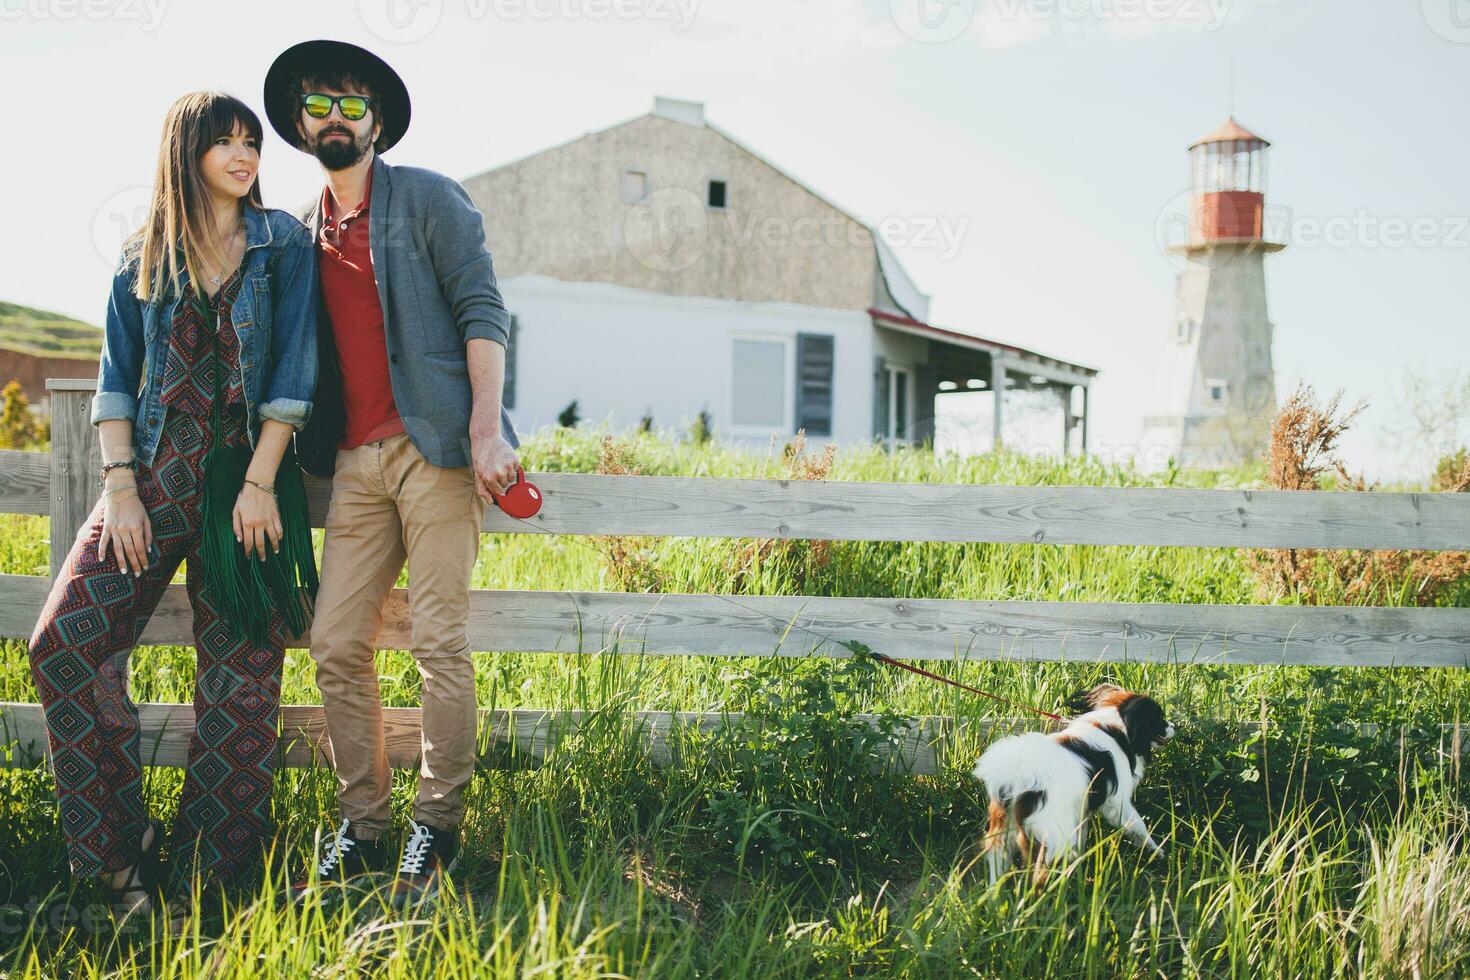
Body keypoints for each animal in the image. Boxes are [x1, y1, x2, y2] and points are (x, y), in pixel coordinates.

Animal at [976, 687, 1170, 887]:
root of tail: (1018, 774)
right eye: (1159, 719)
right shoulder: (1118, 803)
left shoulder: (1081, 808)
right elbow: (1139, 825)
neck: (1116, 728)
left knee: (997, 854)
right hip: (1053, 834)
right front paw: (1157, 850)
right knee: (1042, 869)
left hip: (1003, 826)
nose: (1173, 726)